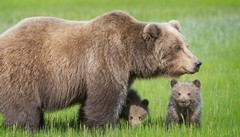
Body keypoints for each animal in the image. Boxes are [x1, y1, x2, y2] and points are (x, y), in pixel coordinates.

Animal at [0, 10, 202, 131]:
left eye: (186, 45)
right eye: (177, 48)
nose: (197, 63)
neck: (130, 54)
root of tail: (4, 36)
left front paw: (83, 123)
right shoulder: (107, 58)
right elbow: (106, 95)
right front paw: (103, 126)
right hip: (24, 70)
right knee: (23, 104)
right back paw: (25, 127)